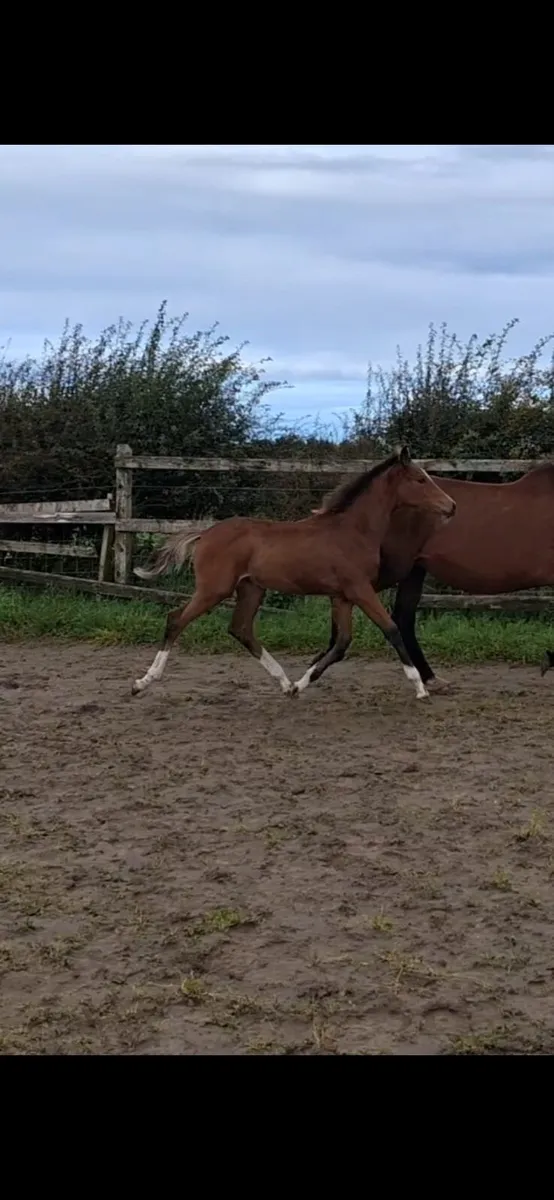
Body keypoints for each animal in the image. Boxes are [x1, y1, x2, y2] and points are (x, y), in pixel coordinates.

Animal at [130, 445, 456, 702]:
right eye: (420, 479)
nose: (451, 506)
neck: (352, 531)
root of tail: (205, 534)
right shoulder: (360, 589)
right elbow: (391, 629)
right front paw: (420, 688)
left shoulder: (342, 596)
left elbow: (341, 644)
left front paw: (301, 684)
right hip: (214, 589)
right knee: (176, 620)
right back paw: (142, 682)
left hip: (251, 588)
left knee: (241, 629)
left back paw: (285, 684)